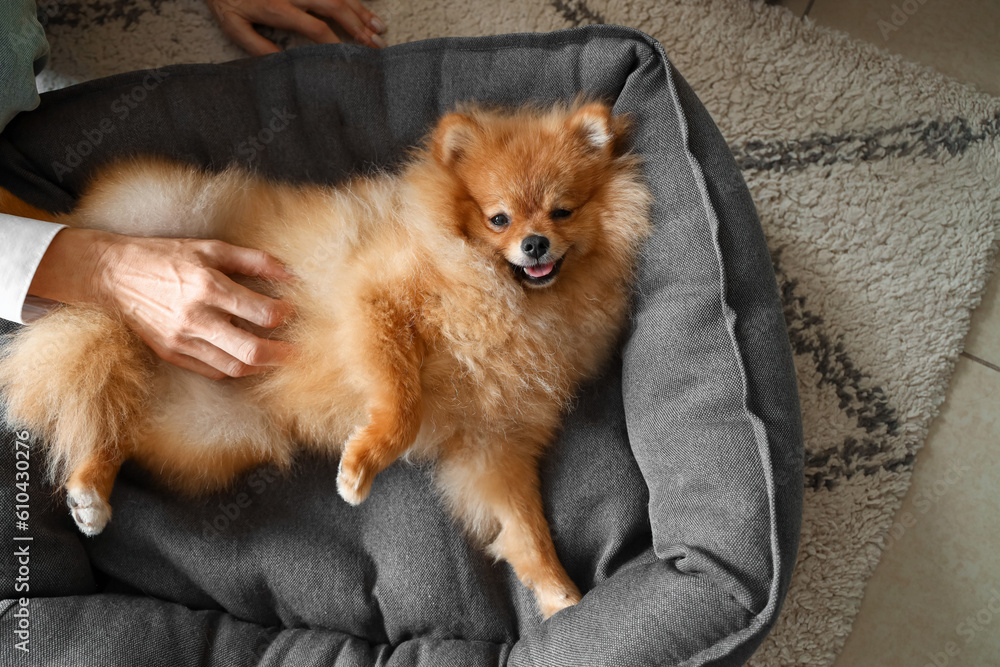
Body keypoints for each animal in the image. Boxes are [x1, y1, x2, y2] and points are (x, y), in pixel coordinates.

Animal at [0, 100, 652, 620]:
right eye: (499, 218)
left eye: (563, 211)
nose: (535, 244)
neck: (504, 300)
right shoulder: (378, 303)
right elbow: (401, 404)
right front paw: (362, 465)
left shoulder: (495, 449)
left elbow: (526, 531)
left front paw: (560, 596)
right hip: (152, 221)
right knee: (66, 241)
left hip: (209, 431)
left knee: (113, 418)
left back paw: (91, 491)